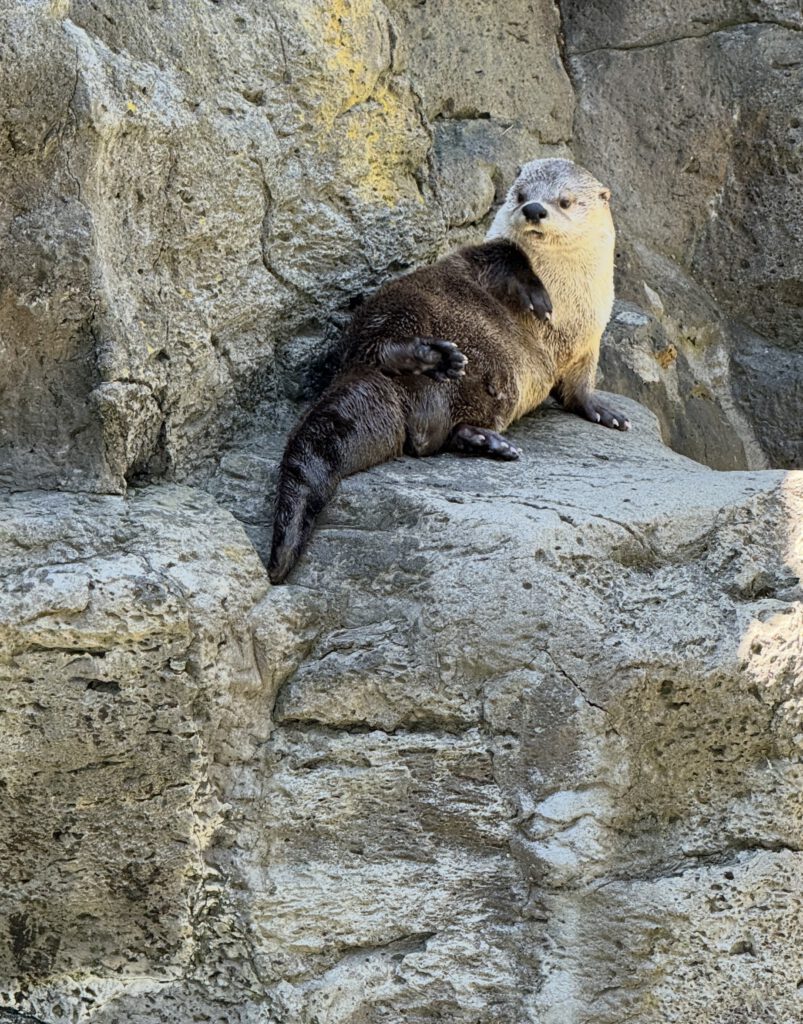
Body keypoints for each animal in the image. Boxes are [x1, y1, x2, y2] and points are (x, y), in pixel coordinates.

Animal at [269, 158, 628, 584]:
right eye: (521, 195)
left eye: (565, 201)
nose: (534, 210)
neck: (570, 303)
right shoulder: (479, 256)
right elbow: (506, 255)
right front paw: (538, 297)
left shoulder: (589, 342)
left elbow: (579, 389)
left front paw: (606, 413)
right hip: (397, 305)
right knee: (381, 345)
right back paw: (435, 358)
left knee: (434, 439)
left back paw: (487, 440)